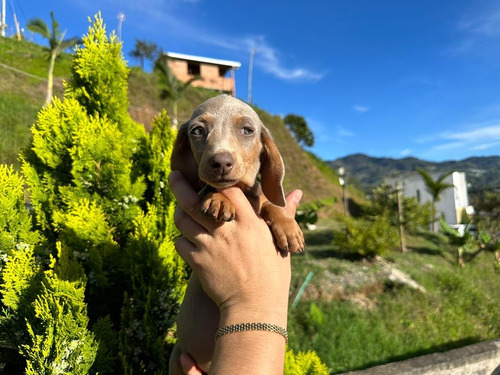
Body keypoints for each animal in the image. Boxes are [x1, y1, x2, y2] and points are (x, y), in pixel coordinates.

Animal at [168, 95, 302, 374]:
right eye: (197, 131)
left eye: (247, 130)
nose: (220, 162)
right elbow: (211, 189)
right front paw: (220, 199)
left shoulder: (259, 196)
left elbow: (269, 202)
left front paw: (288, 226)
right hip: (177, 358)